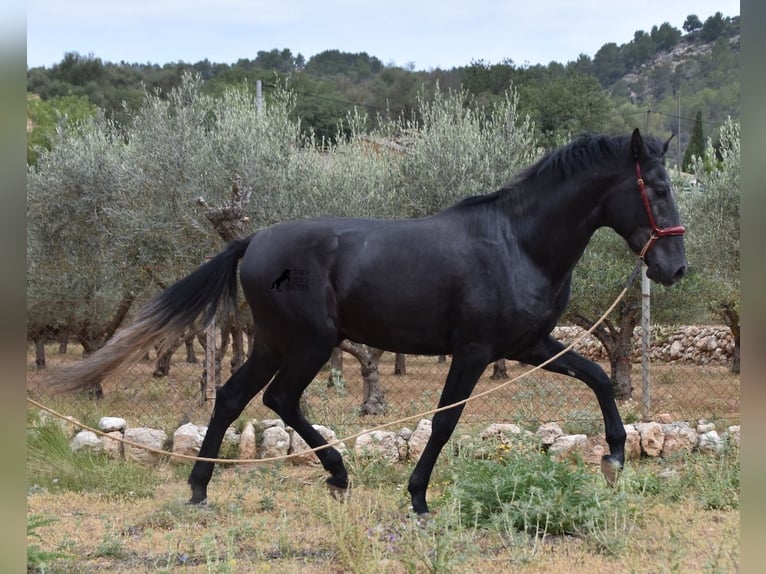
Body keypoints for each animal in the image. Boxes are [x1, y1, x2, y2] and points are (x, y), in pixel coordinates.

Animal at [49, 129, 688, 516]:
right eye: (658, 188)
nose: (674, 266)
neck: (518, 243)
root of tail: (253, 241)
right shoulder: (476, 349)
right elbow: (444, 422)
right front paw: (420, 499)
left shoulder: (528, 343)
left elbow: (598, 378)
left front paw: (614, 457)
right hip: (309, 343)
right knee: (278, 399)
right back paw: (335, 473)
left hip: (274, 343)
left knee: (232, 397)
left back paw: (203, 489)